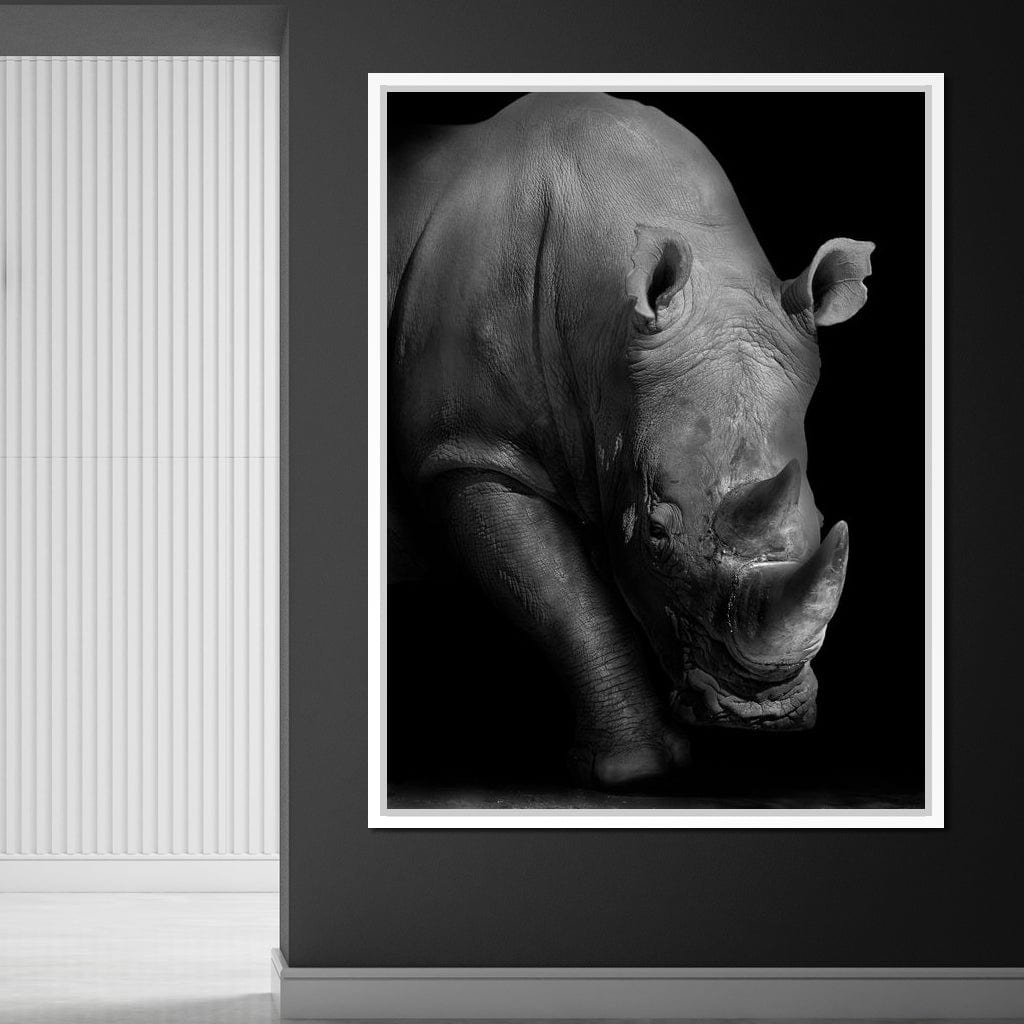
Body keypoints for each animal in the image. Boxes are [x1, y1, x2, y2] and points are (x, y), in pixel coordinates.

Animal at [387, 93, 873, 789]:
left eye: (819, 516)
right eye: (656, 533)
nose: (761, 715)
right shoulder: (468, 451)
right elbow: (563, 597)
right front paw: (634, 772)